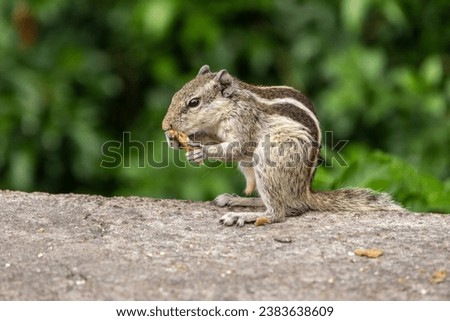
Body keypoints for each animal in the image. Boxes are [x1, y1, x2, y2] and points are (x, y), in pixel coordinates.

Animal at [162, 64, 404, 225]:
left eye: (194, 102)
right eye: (174, 95)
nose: (165, 126)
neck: (230, 106)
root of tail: (304, 193)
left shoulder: (244, 122)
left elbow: (238, 147)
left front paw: (202, 152)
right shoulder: (215, 130)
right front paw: (175, 141)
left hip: (271, 158)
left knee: (279, 212)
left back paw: (245, 215)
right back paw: (237, 200)